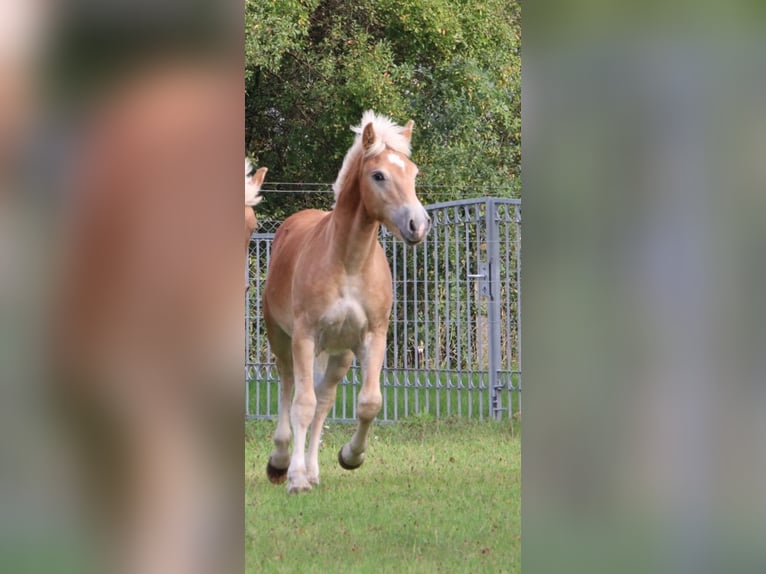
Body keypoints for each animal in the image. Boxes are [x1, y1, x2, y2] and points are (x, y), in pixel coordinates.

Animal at [264, 111, 432, 496]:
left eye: (414, 173)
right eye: (378, 175)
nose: (418, 225)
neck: (349, 263)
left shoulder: (373, 337)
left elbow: (369, 403)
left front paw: (350, 457)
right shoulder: (304, 337)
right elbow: (301, 404)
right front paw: (295, 479)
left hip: (339, 354)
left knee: (324, 401)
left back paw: (313, 470)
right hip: (282, 339)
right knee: (288, 389)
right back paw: (282, 463)